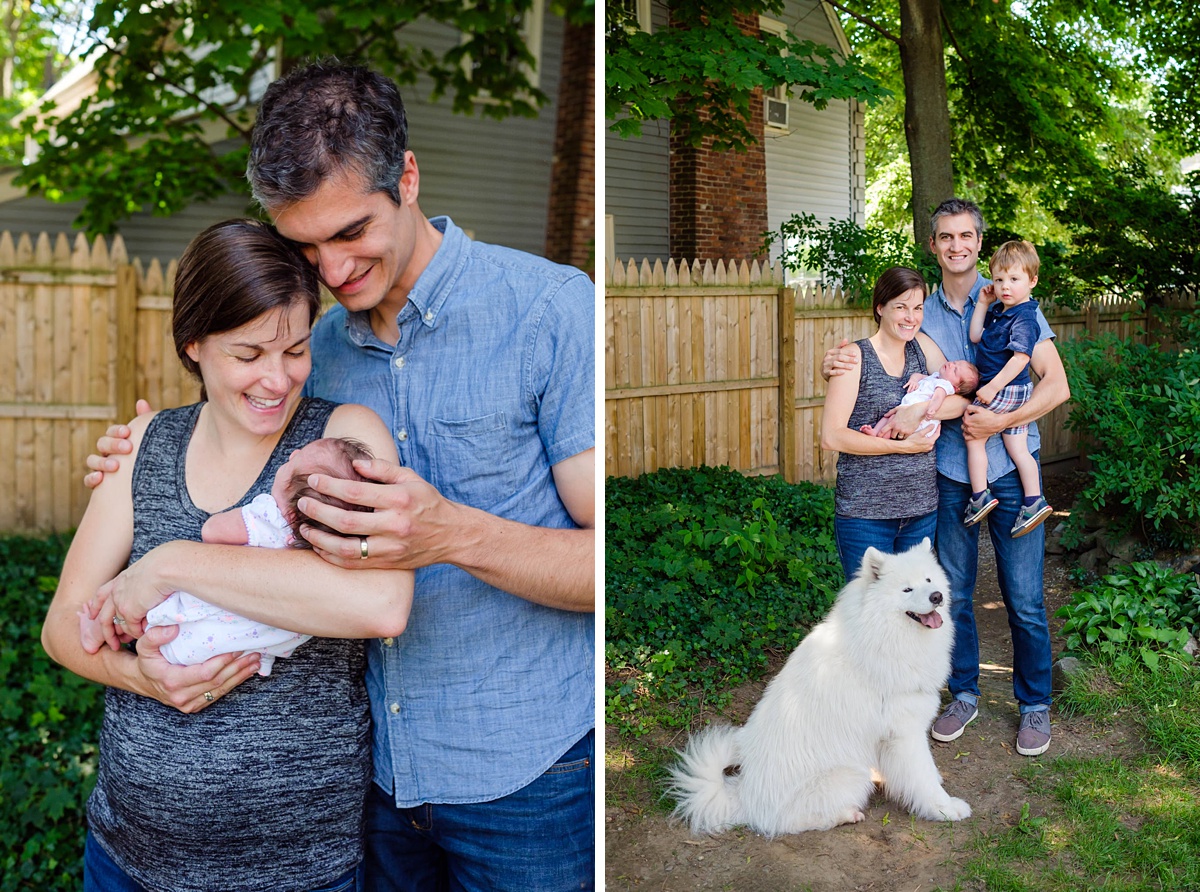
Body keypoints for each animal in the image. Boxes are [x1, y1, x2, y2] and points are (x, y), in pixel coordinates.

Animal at [672, 537, 969, 835]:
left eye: (929, 580)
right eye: (907, 589)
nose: (936, 596)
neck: (882, 634)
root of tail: (744, 795)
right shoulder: (904, 732)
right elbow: (923, 778)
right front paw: (946, 809)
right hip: (849, 775)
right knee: (790, 821)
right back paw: (847, 814)